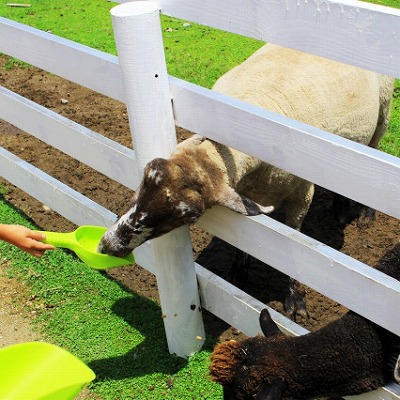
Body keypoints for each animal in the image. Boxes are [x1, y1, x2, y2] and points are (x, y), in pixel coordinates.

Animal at [99, 43, 394, 318]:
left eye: (190, 215)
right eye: (147, 173)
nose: (108, 245)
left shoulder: (302, 193)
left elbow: (296, 245)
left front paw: (296, 301)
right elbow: (244, 241)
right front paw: (239, 272)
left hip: (383, 112)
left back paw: (361, 212)